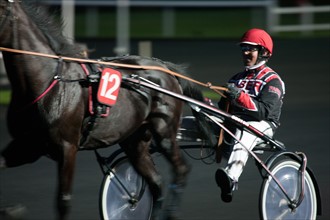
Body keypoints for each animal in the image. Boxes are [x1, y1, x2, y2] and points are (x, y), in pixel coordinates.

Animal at [0, 0, 211, 219]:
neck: (48, 80)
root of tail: (166, 68)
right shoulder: (28, 145)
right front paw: (10, 209)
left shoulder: (67, 148)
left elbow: (63, 202)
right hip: (135, 140)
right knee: (156, 182)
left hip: (164, 133)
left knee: (181, 169)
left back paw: (171, 212)